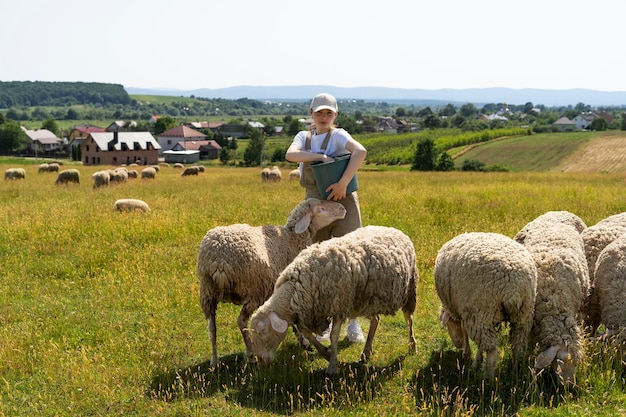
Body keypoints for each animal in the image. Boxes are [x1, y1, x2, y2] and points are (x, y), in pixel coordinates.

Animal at [197, 197, 346, 364]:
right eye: (321, 209)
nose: (342, 208)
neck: (292, 238)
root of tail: (219, 260)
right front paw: (304, 342)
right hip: (253, 291)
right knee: (241, 321)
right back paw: (250, 354)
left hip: (208, 292)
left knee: (212, 327)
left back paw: (214, 360)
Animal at [246, 226, 416, 376]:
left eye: (262, 331)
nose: (261, 361)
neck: (296, 287)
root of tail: (394, 229)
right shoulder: (310, 311)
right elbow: (307, 333)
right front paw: (325, 353)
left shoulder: (339, 305)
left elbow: (334, 336)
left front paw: (332, 366)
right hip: (370, 299)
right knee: (376, 319)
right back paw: (366, 352)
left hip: (409, 289)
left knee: (409, 320)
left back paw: (412, 346)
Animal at [432, 232, 532, 378]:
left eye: (448, 324)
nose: (458, 344)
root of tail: (513, 289)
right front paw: (476, 359)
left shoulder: (468, 312)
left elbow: (465, 331)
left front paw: (467, 354)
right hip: (523, 315)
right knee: (518, 344)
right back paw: (515, 372)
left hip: (482, 311)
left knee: (491, 347)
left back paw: (488, 376)